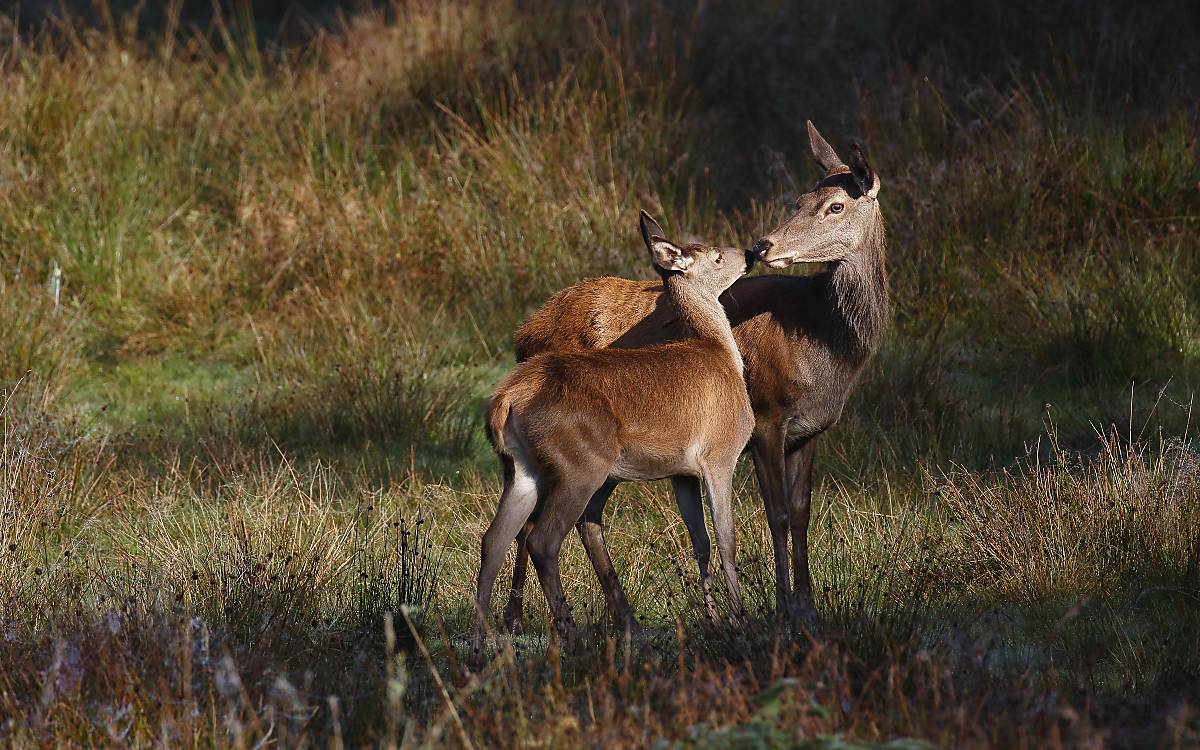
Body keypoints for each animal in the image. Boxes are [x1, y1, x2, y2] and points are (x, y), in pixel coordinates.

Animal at [475, 212, 748, 652]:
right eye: (718, 255)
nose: (752, 253)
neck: (721, 353)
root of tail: (508, 396)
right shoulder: (720, 455)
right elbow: (726, 537)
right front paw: (740, 619)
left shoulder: (682, 473)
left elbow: (700, 541)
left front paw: (714, 619)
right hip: (580, 466)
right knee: (542, 539)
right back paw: (569, 633)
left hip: (521, 468)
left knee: (496, 537)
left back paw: (483, 637)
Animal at [501, 123, 888, 624]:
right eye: (799, 199)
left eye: (835, 205)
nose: (764, 245)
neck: (824, 341)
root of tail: (523, 334)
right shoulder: (768, 416)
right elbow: (777, 514)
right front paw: (782, 607)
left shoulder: (811, 429)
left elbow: (802, 512)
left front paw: (807, 606)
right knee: (539, 521)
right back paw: (520, 615)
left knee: (580, 517)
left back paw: (619, 614)